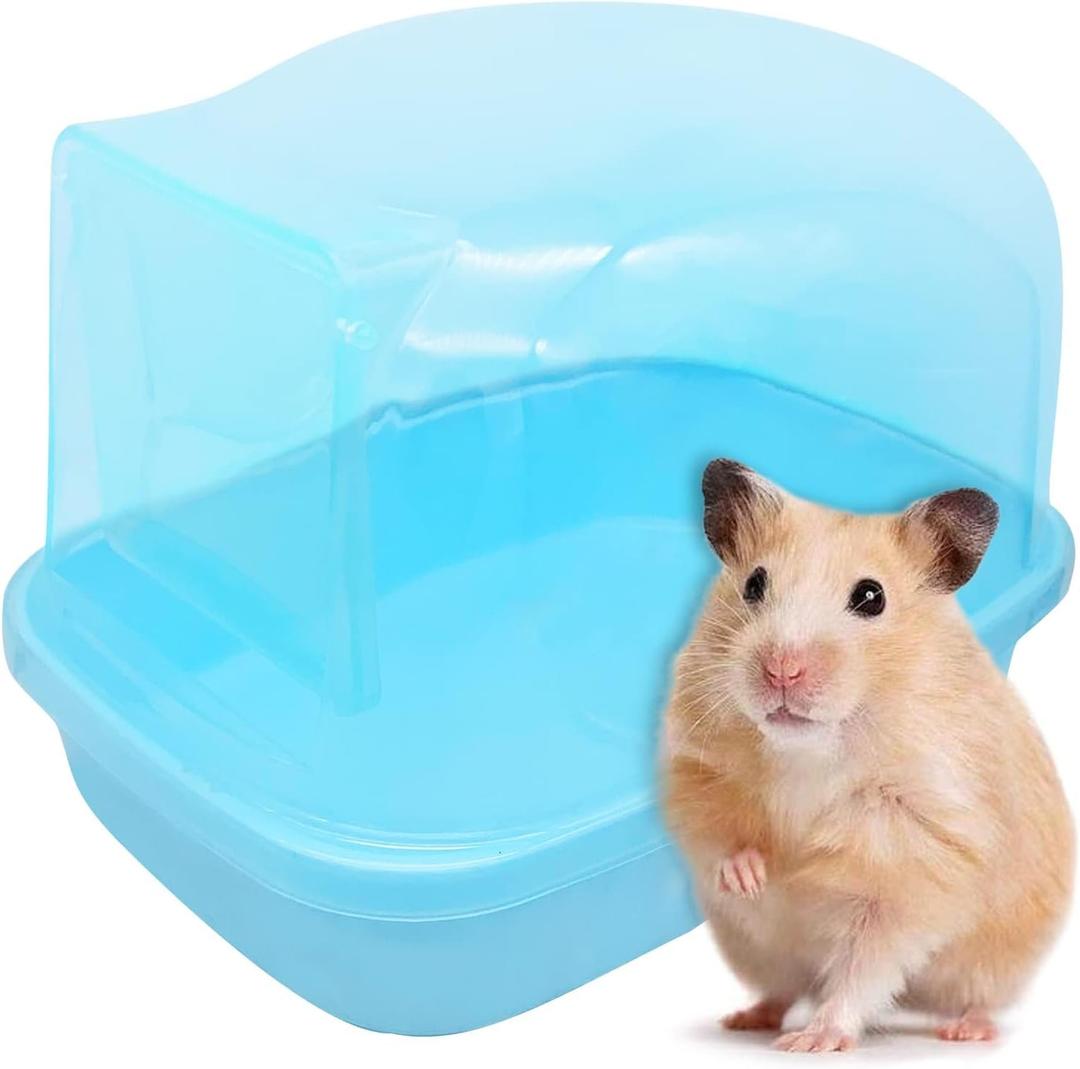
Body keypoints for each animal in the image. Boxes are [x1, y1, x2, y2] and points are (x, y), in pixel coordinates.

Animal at [662, 458, 1073, 1053]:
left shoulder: (911, 863)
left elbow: (864, 965)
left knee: (973, 997)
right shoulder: (697, 768)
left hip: (996, 962)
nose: (781, 670)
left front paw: (814, 1042)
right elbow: (720, 834)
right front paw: (753, 877)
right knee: (782, 988)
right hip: (758, 951)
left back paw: (964, 1031)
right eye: (754, 583)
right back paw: (746, 1018)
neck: (811, 749)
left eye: (872, 596)